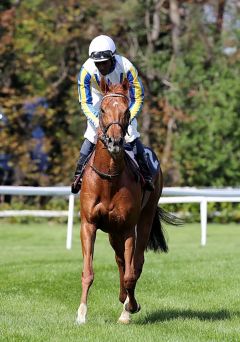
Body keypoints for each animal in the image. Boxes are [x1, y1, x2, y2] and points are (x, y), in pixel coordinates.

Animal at [77, 77, 178, 324]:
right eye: (102, 109)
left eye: (126, 111)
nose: (114, 141)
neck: (109, 178)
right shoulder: (88, 224)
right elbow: (88, 271)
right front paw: (81, 313)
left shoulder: (128, 227)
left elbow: (131, 273)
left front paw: (129, 308)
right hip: (113, 232)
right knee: (120, 260)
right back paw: (123, 297)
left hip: (143, 219)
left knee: (136, 263)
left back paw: (127, 305)